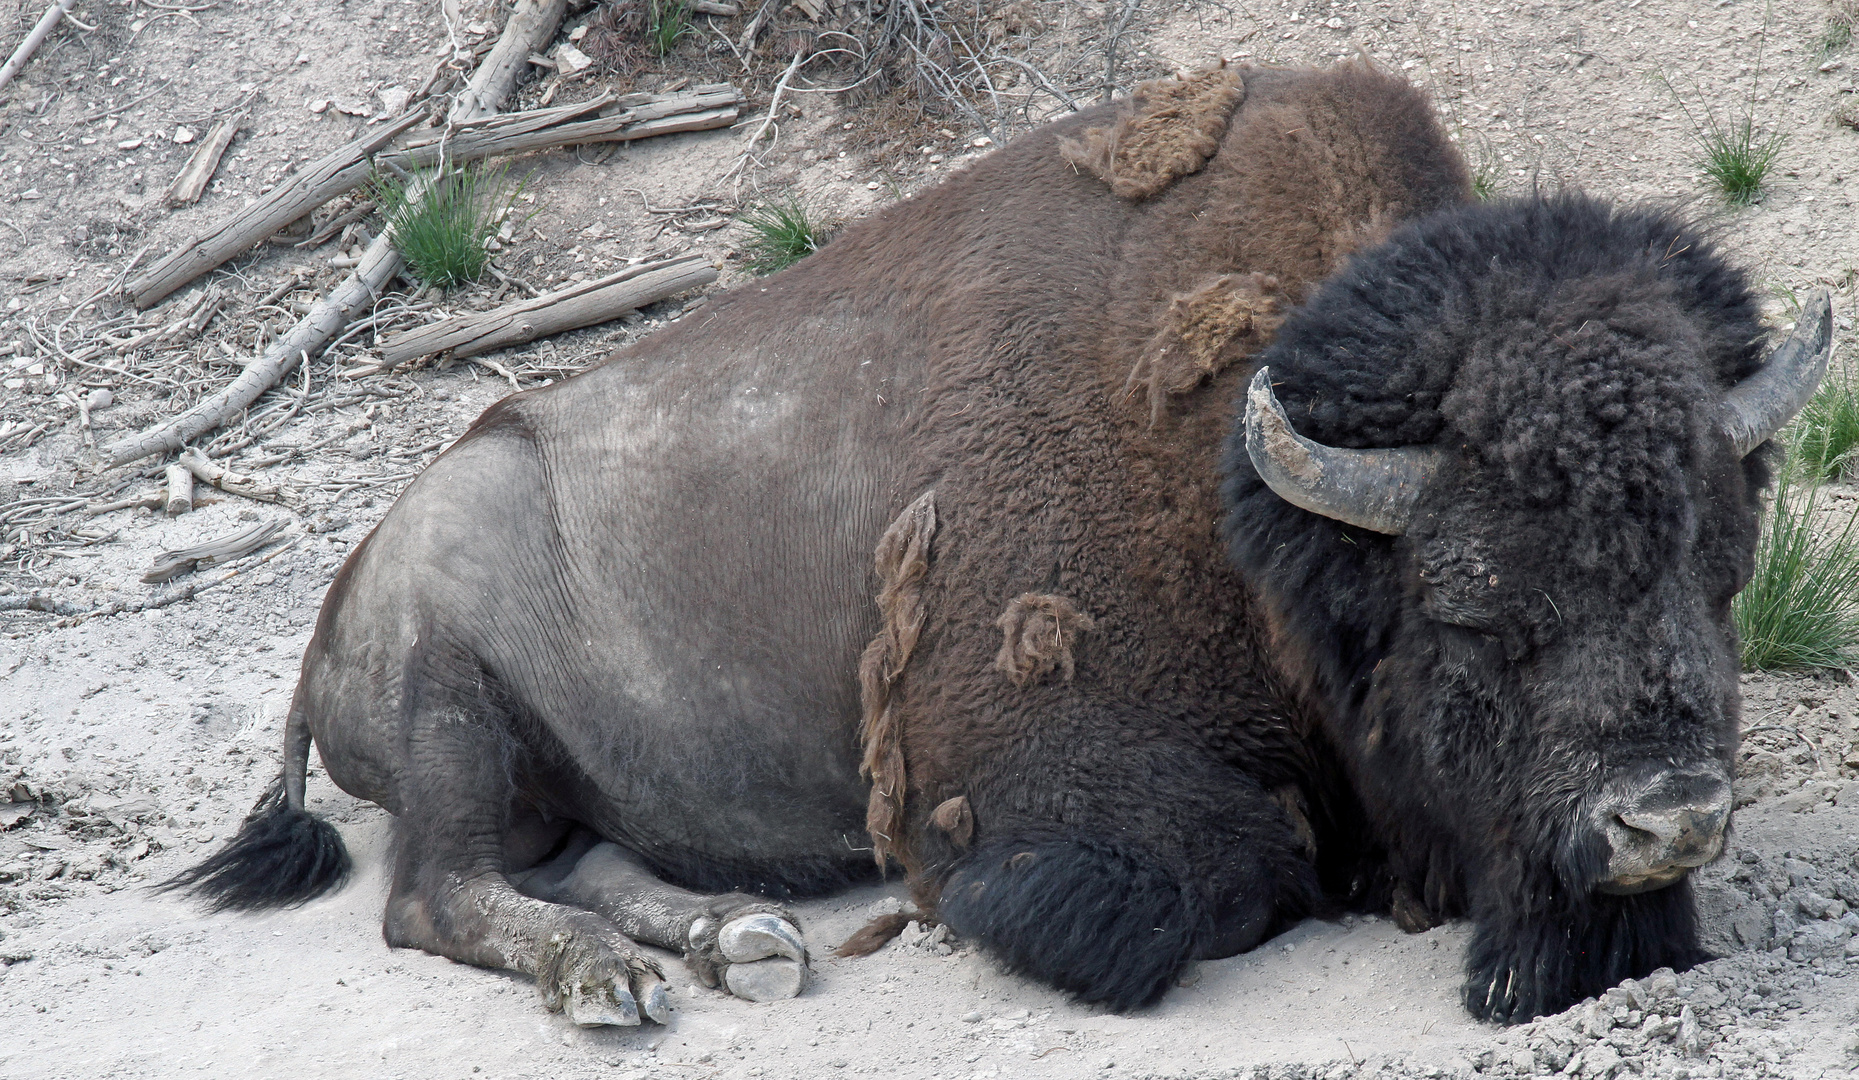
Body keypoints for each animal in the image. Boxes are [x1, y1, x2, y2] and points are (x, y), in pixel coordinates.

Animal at [174, 63, 1829, 1026]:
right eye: (1473, 610)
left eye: (1720, 569)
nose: (1666, 820)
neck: (1258, 505)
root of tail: (336, 599)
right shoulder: (1034, 772)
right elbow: (1224, 868)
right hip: (454, 719)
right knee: (431, 892)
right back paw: (619, 984)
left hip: (547, 776)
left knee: (573, 858)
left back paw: (732, 942)